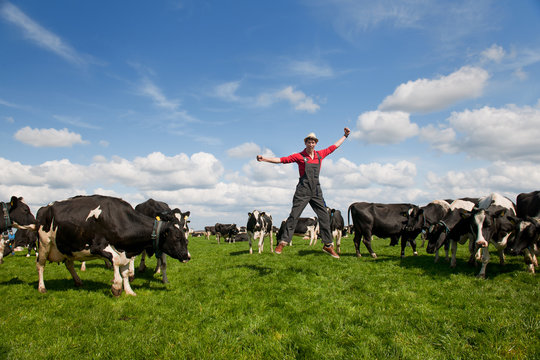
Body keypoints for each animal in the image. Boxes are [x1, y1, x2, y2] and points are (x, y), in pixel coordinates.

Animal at [34, 197, 191, 296]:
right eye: (177, 237)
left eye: (185, 230)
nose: (187, 256)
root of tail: (44, 208)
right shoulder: (98, 247)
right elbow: (115, 261)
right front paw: (116, 286)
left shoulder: (128, 251)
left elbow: (125, 272)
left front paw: (129, 291)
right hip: (44, 244)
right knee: (40, 265)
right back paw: (42, 287)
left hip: (68, 248)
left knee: (69, 264)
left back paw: (78, 281)